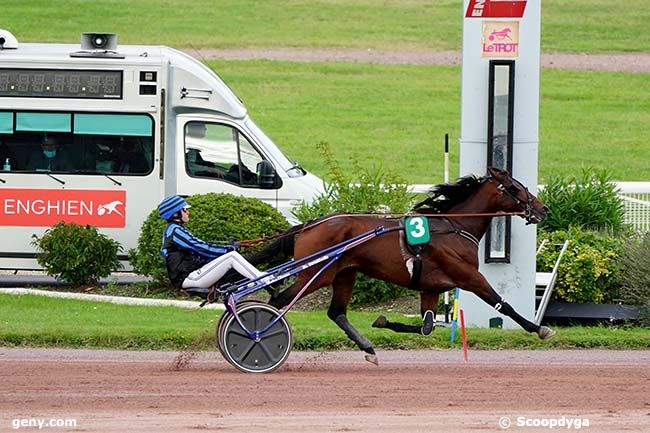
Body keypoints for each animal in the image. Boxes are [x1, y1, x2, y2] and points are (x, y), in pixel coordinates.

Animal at [248, 167, 552, 362]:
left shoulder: (430, 287)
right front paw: (539, 329)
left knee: (336, 313)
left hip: (345, 273)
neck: (455, 228)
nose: (543, 208)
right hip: (315, 274)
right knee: (279, 302)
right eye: (514, 187)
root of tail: (310, 224)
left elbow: (427, 326)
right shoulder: (468, 277)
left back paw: (368, 349)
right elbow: (503, 305)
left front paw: (382, 321)